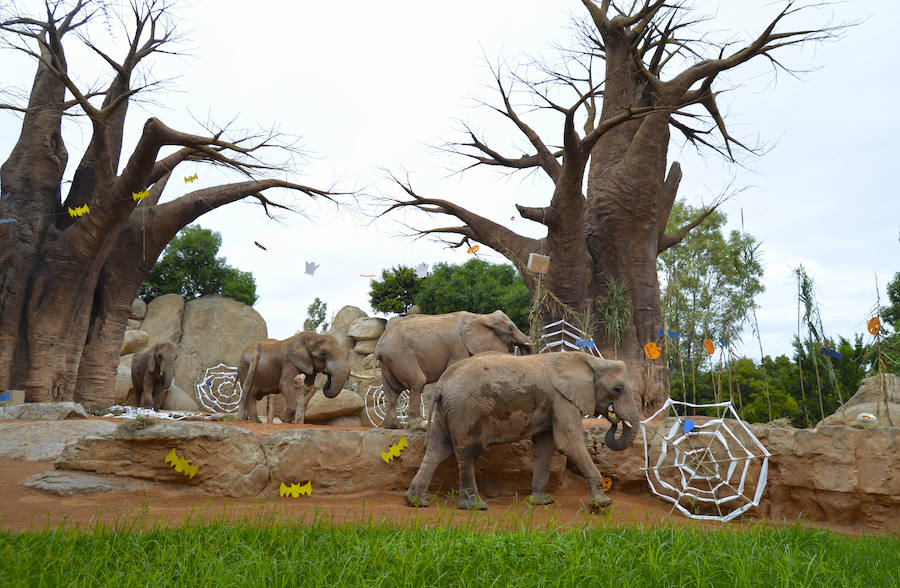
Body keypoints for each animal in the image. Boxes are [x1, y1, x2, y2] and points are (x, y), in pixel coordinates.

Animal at [372, 310, 536, 430]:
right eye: (511, 328)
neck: (481, 316)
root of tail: (378, 347)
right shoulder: (459, 346)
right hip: (401, 356)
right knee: (417, 383)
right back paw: (419, 425)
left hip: (389, 361)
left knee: (392, 391)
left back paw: (393, 426)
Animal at [404, 352, 636, 512]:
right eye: (617, 389)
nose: (613, 417)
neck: (590, 360)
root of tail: (441, 384)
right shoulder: (562, 399)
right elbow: (569, 443)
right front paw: (602, 505)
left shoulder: (553, 403)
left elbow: (547, 446)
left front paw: (542, 503)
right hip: (465, 409)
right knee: (467, 452)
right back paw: (476, 507)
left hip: (447, 410)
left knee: (437, 449)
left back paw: (415, 502)